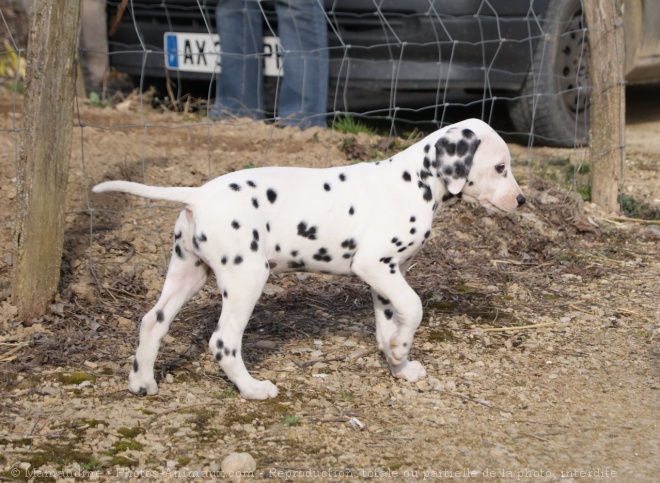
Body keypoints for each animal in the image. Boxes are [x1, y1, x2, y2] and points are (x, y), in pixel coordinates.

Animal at [93, 117, 524, 400]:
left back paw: (142, 382)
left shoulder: (386, 274)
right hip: (247, 278)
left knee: (153, 321)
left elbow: (389, 322)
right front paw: (402, 350)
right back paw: (253, 389)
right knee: (223, 342)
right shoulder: (375, 264)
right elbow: (414, 307)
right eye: (500, 167)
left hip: (188, 273)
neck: (416, 180)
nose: (521, 200)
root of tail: (197, 194)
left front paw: (398, 363)